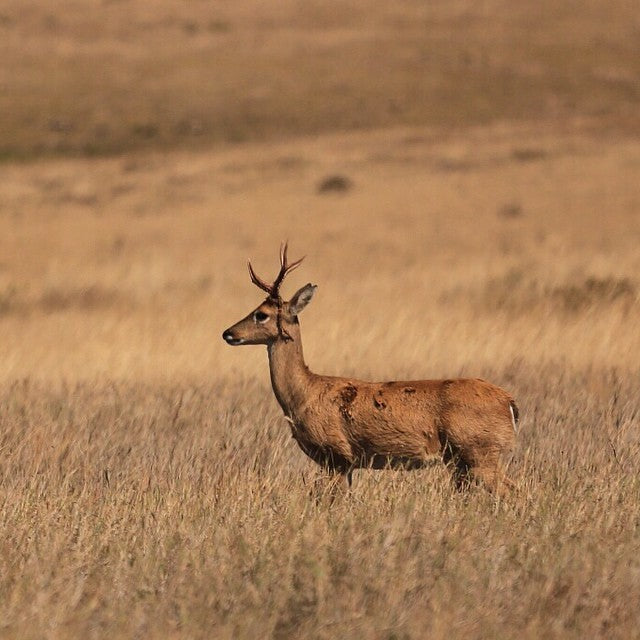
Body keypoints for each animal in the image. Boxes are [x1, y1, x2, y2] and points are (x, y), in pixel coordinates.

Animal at [222, 242, 516, 498]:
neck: (304, 394)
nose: (228, 333)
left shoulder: (337, 455)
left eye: (261, 314)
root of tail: (510, 403)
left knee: (512, 491)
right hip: (464, 460)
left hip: (479, 452)